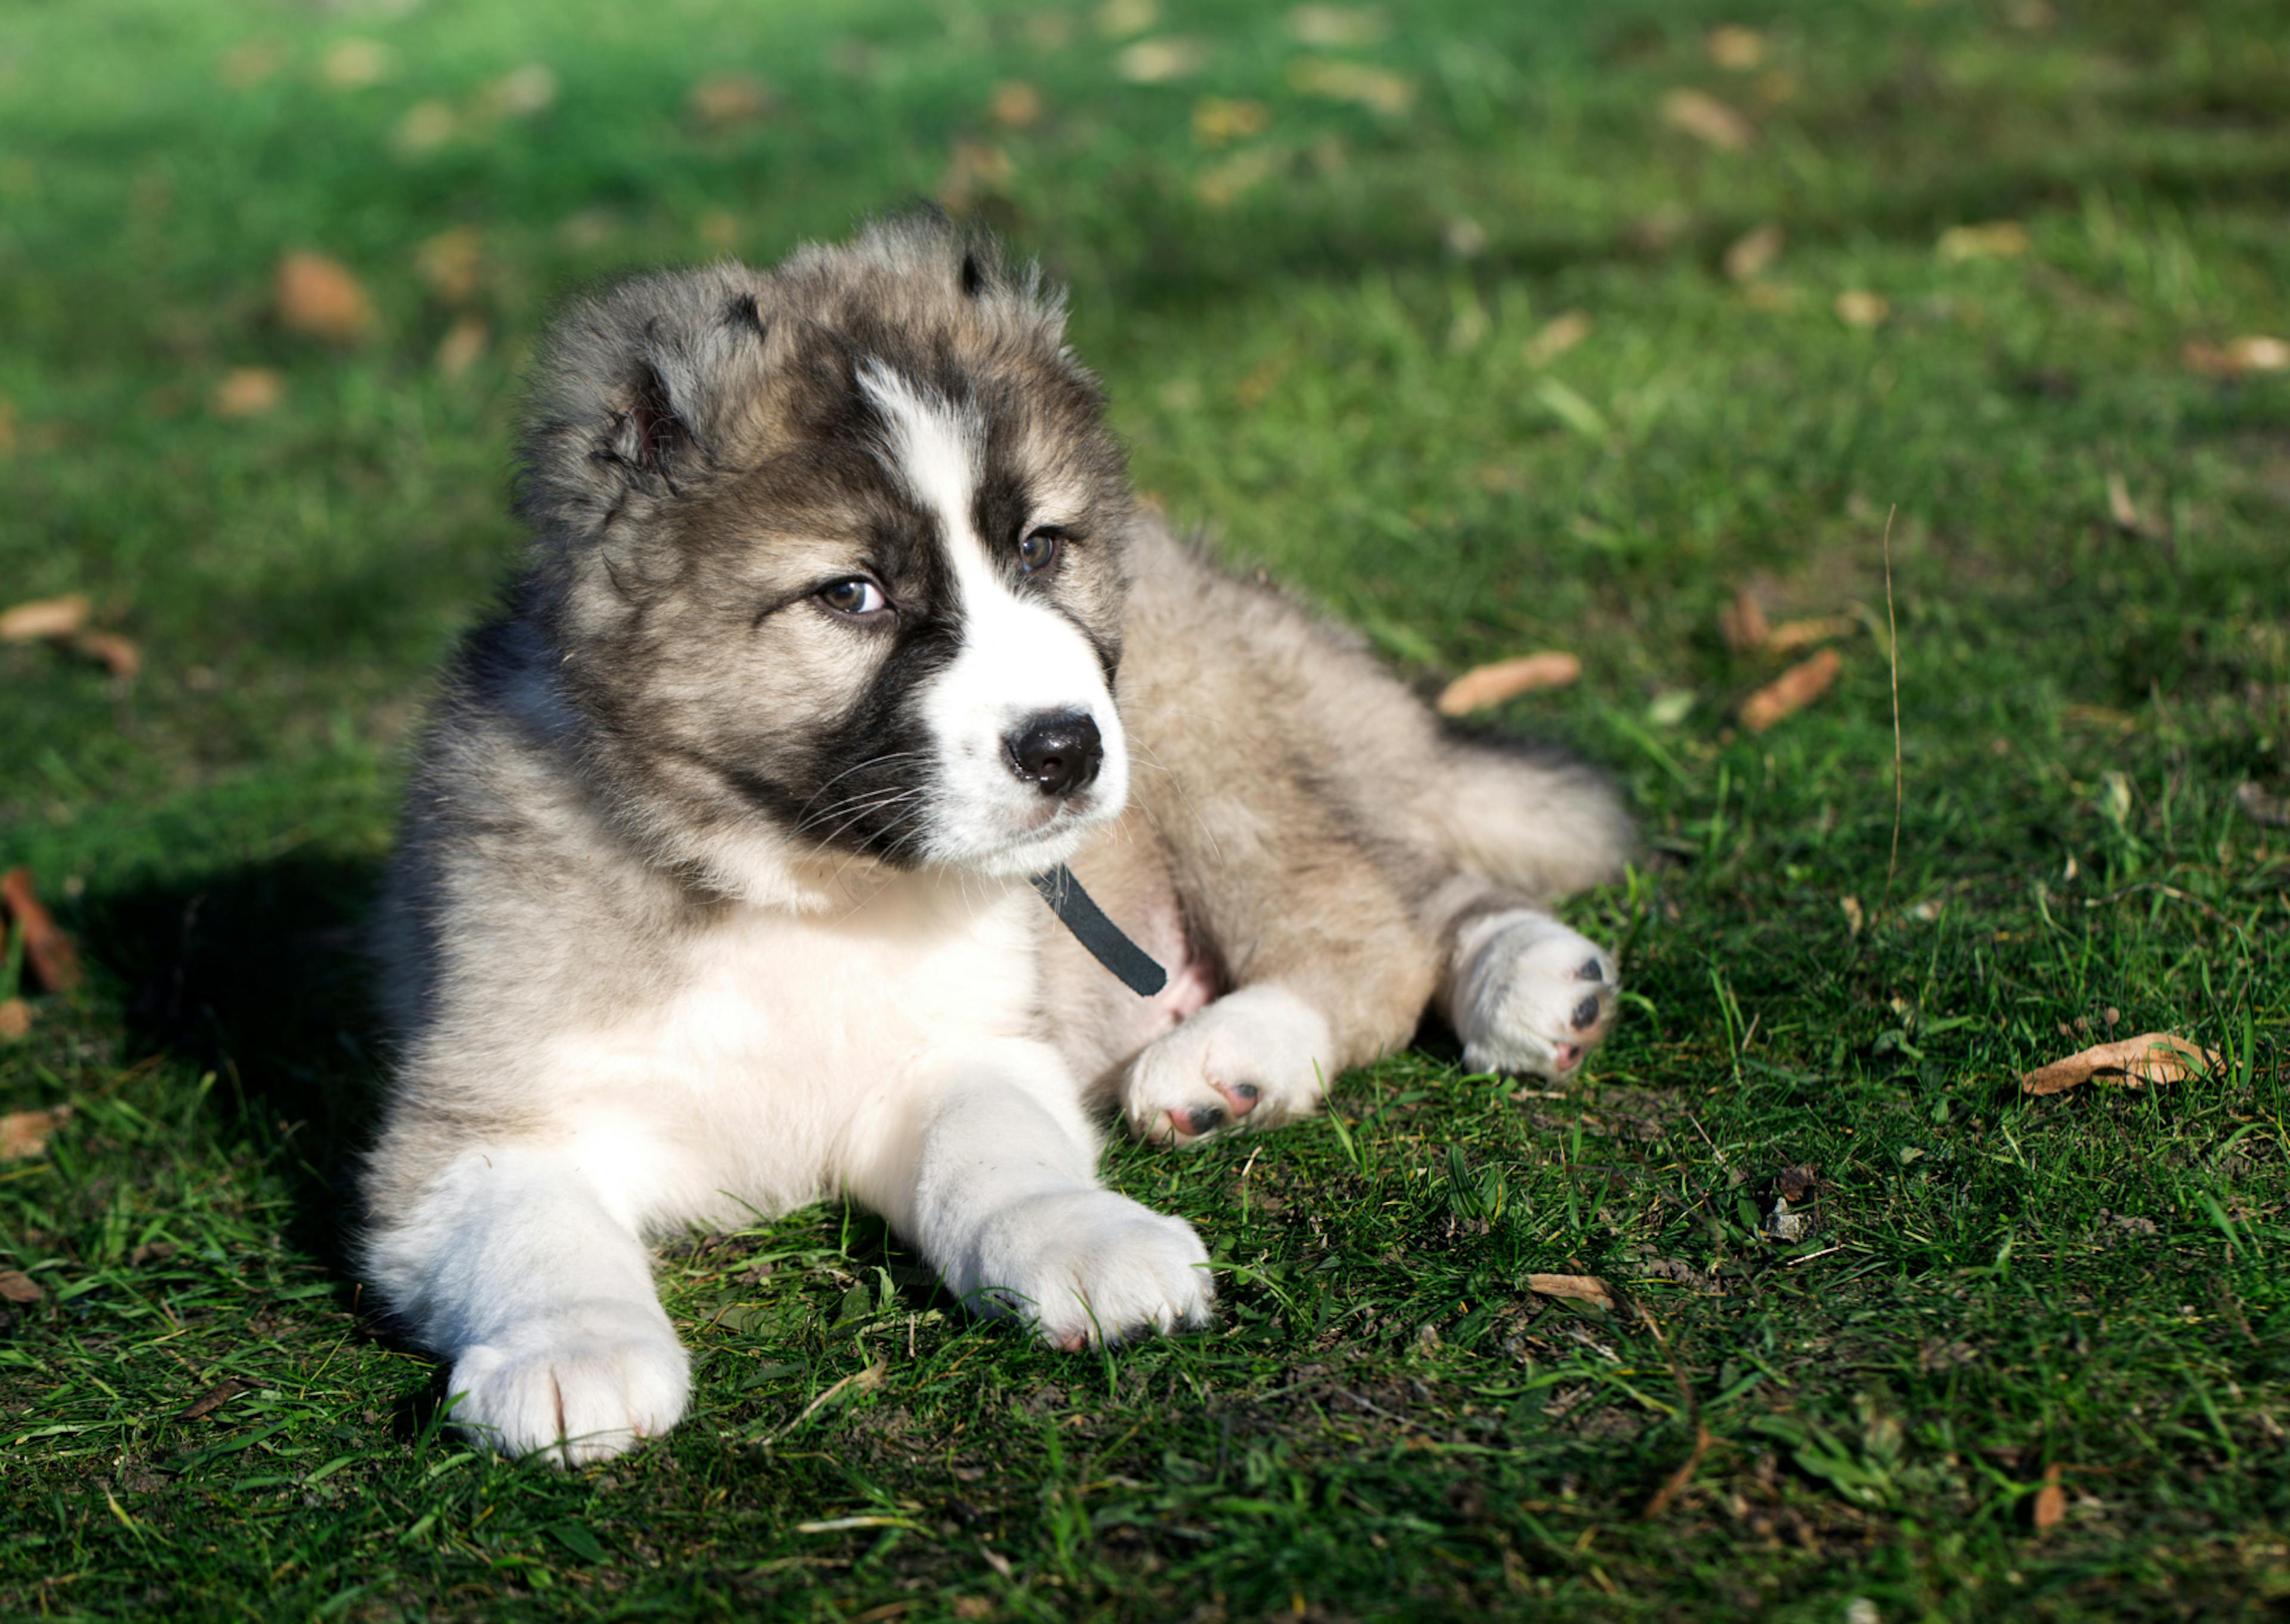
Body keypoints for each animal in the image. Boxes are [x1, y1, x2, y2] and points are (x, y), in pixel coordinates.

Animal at [361, 209, 1630, 1465]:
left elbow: (995, 1150)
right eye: (852, 594)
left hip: (1209, 736)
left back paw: (1261, 1048)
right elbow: (528, 1222)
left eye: (1038, 548)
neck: (794, 879)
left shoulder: (969, 1044)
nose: (1065, 749)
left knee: (1380, 923)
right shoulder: (468, 1125)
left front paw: (1084, 1238)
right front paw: (570, 1346)